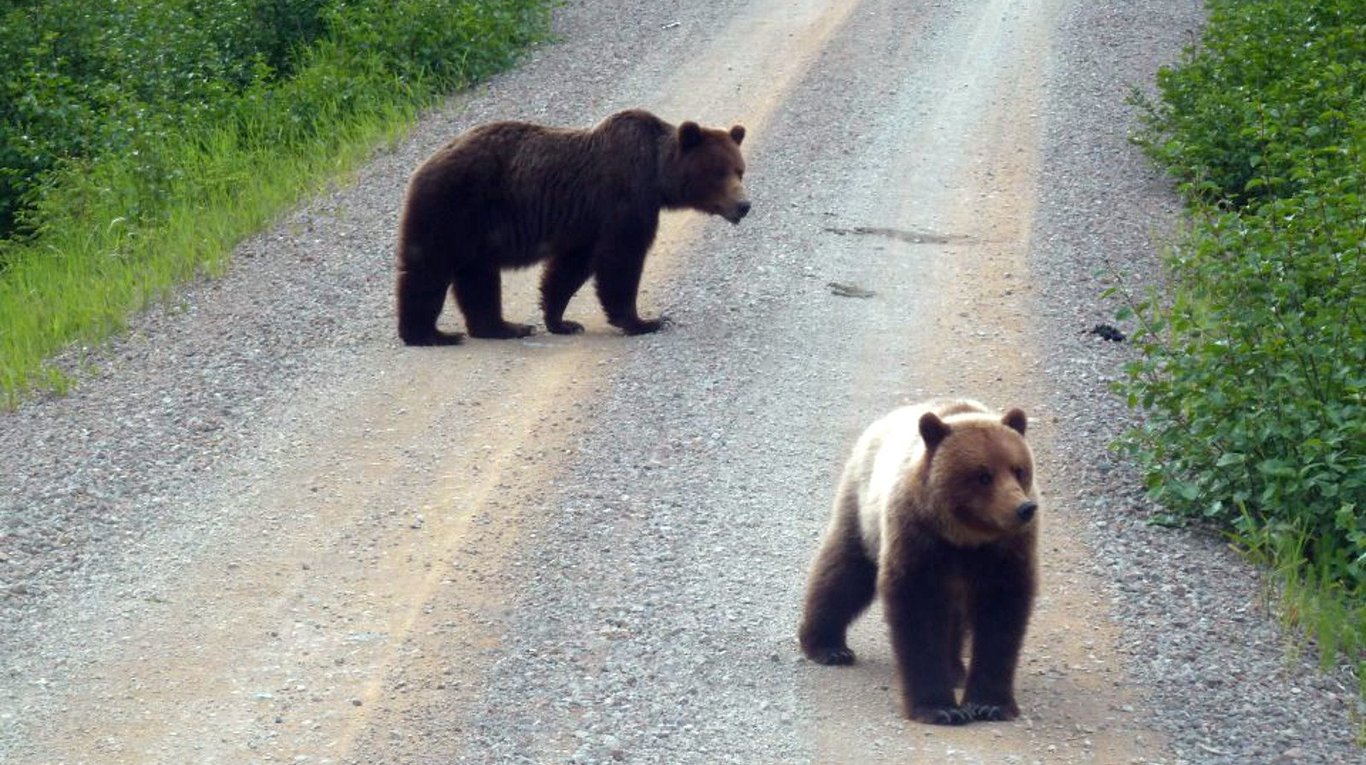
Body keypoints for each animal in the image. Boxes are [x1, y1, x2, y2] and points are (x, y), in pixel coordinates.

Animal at [395, 109, 750, 345]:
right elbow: (621, 258)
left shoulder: (587, 223)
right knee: (428, 268)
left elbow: (571, 267)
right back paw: (430, 333)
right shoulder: (624, 200)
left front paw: (561, 321)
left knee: (477, 276)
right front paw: (644, 320)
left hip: (476, 230)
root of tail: (422, 166)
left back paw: (504, 327)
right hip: (451, 208)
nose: (744, 205)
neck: (657, 176)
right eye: (718, 173)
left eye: (739, 169)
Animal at [798, 398, 1039, 726]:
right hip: (863, 509)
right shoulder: (918, 537)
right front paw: (940, 708)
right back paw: (827, 646)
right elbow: (918, 613)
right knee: (845, 570)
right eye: (983, 475)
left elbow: (1001, 618)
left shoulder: (1005, 552)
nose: (1023, 508)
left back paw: (955, 669)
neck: (965, 538)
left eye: (1019, 469)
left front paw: (989, 704)